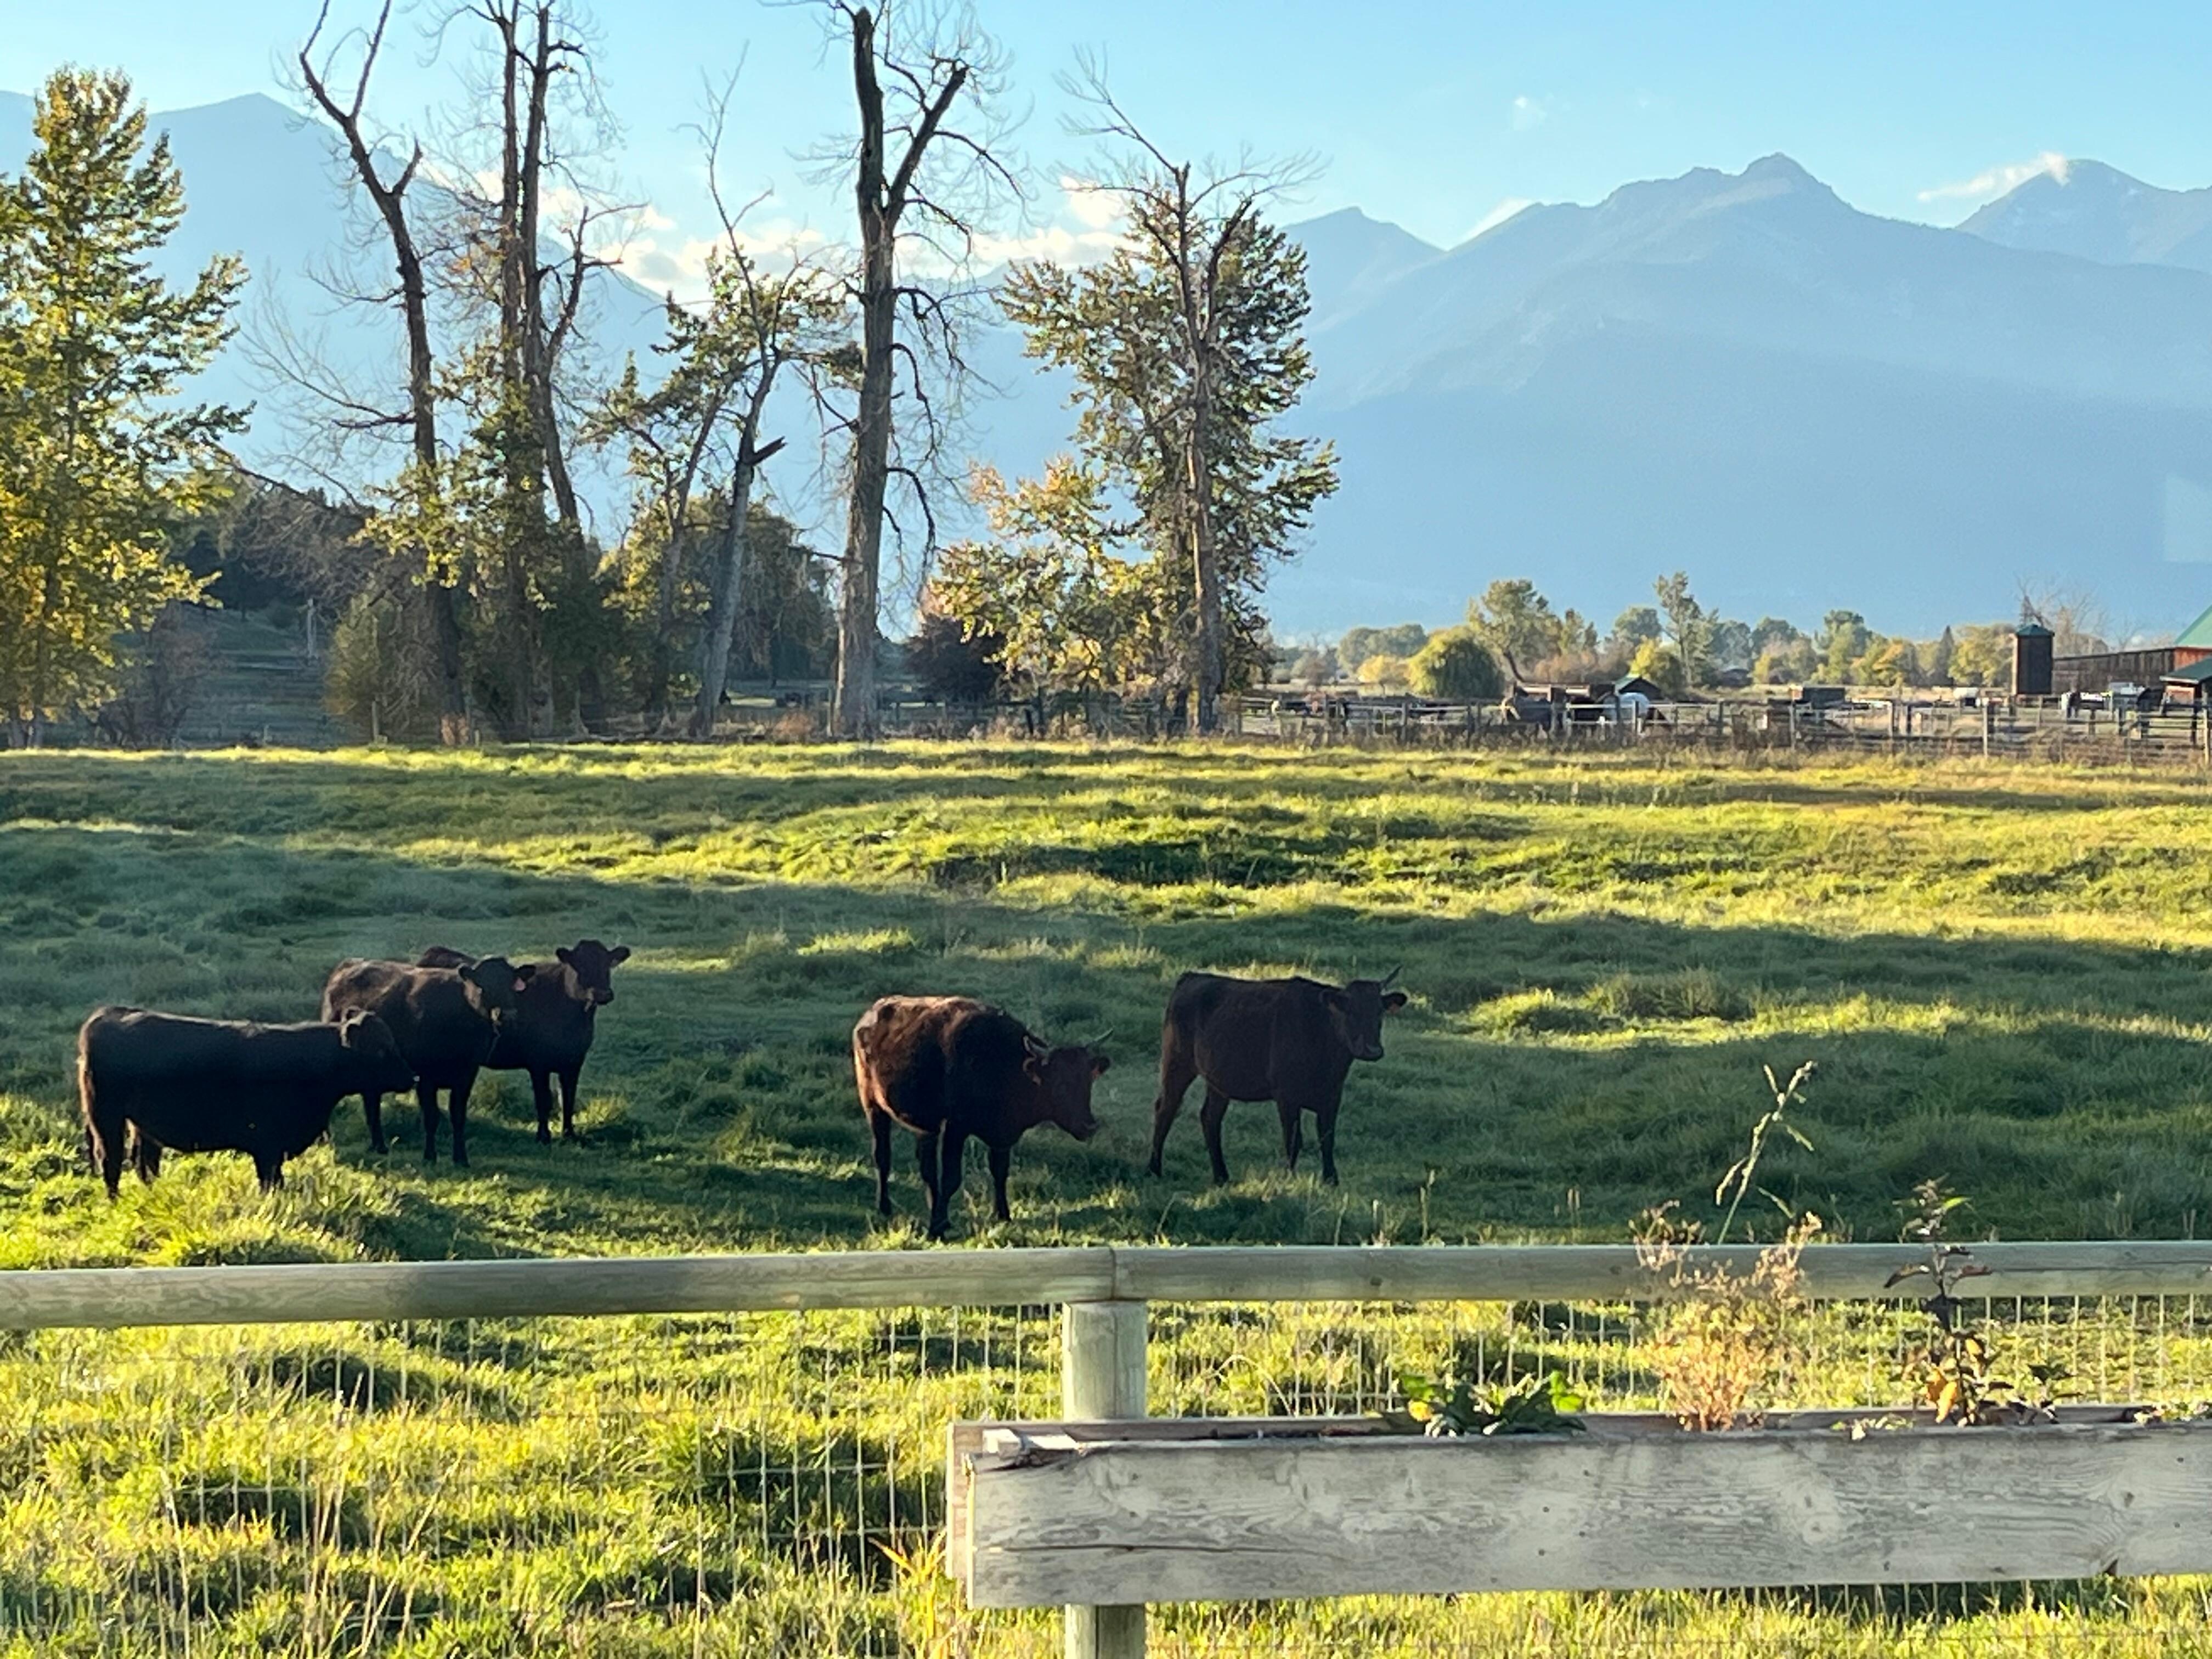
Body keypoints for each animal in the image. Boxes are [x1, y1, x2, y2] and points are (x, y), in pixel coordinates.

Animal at [78, 1005, 414, 1196]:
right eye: (382, 1049)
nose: (413, 1078)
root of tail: (108, 1013)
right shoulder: (268, 1144)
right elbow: (270, 1182)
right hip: (106, 1117)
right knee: (111, 1162)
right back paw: (115, 1201)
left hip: (141, 1124)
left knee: (145, 1162)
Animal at [319, 955, 527, 1166]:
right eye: (483, 987)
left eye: (512, 986)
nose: (507, 1015)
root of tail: (350, 964)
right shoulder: (425, 1077)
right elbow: (431, 1117)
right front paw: (430, 1156)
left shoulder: (467, 1075)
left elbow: (458, 1116)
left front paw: (461, 1158)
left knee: (372, 1101)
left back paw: (379, 1146)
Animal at [416, 940, 631, 1144]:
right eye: (579, 965)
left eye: (607, 964)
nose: (602, 994)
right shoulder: (539, 1063)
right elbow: (544, 1100)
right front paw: (543, 1137)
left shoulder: (574, 1062)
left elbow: (568, 1098)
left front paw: (569, 1134)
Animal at [851, 995, 1110, 1240]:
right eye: (1059, 1085)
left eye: (1088, 1082)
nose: (1089, 1126)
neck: (1002, 1064)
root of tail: (872, 1013)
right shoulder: (956, 1128)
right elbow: (951, 1178)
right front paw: (936, 1228)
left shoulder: (1002, 1137)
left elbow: (1000, 1172)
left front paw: (1003, 1216)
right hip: (874, 1107)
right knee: (883, 1157)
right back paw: (885, 1208)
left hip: (926, 1128)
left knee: (927, 1169)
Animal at [1146, 969, 1409, 1187]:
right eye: (1350, 1012)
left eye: (1379, 1013)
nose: (1372, 1050)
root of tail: (1192, 977)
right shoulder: (1287, 1096)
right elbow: (1293, 1140)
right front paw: (1289, 1179)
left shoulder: (1333, 1095)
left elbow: (1327, 1138)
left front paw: (1331, 1180)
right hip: (1177, 1064)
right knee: (1166, 1109)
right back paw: (1154, 1170)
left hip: (1218, 1080)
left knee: (1210, 1118)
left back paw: (1222, 1176)